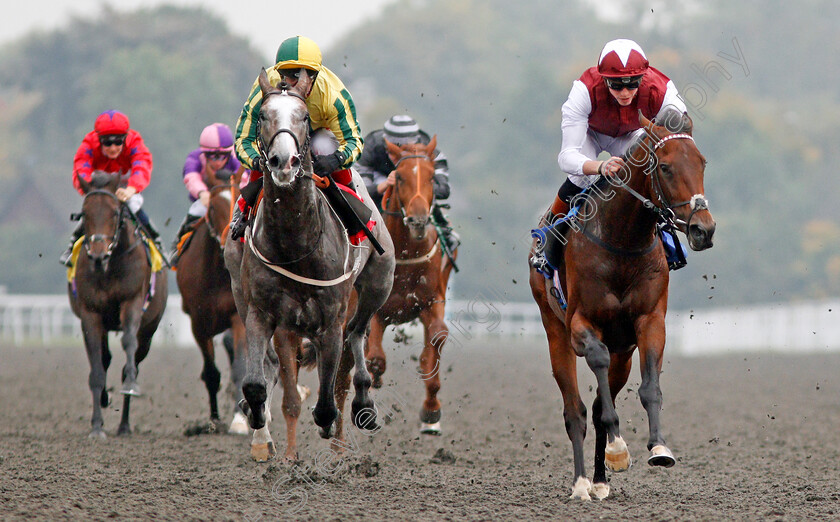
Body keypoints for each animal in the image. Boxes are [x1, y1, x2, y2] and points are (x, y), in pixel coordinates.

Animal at [69, 173, 169, 436]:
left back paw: (124, 424)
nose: (98, 255)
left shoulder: (132, 301)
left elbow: (128, 343)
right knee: (105, 358)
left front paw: (131, 384)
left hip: (149, 330)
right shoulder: (90, 314)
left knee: (131, 358)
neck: (110, 266)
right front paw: (96, 425)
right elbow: (96, 367)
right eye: (84, 213)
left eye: (115, 212)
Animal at [172, 170, 248, 430]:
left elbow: (239, 368)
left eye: (239, 198)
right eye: (213, 207)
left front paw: (239, 420)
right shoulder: (198, 323)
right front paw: (214, 420)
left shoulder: (237, 317)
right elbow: (212, 373)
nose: (230, 238)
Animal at [221, 67, 396, 458]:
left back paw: (364, 402)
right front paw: (255, 417)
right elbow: (255, 383)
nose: (283, 162)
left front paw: (330, 423)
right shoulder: (264, 313)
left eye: (303, 117)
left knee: (358, 333)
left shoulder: (330, 319)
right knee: (272, 365)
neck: (296, 243)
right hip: (239, 291)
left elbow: (328, 400)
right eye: (262, 115)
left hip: (378, 283)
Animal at [364, 136, 460, 432]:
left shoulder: (431, 301)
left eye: (431, 177)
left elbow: (438, 337)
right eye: (400, 177)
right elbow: (375, 359)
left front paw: (431, 410)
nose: (418, 220)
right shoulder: (376, 310)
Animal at [528, 111, 712, 498]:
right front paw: (617, 449)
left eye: (702, 162)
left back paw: (599, 480)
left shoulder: (649, 321)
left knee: (599, 405)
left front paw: (658, 448)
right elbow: (595, 377)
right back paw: (582, 483)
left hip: (622, 353)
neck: (621, 243)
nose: (704, 229)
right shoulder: (581, 324)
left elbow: (649, 388)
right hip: (554, 331)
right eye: (666, 167)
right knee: (575, 411)